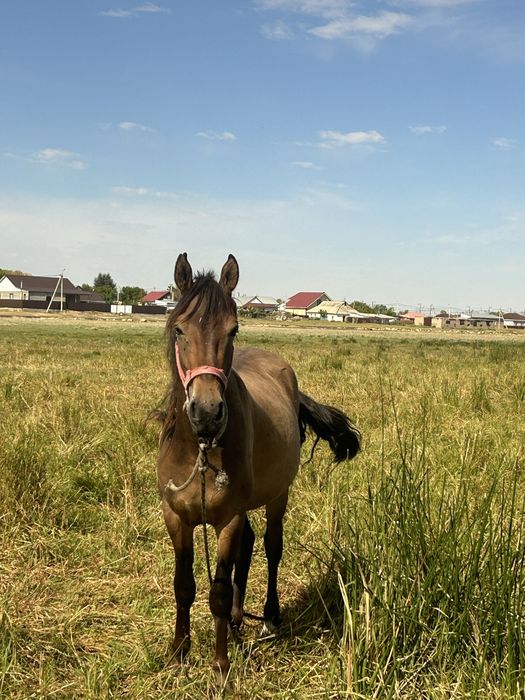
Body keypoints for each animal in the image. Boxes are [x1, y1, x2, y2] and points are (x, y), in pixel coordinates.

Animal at [157, 252, 360, 675]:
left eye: (233, 331)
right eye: (179, 330)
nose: (207, 412)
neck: (198, 448)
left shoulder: (227, 518)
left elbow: (218, 590)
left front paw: (220, 667)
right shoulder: (176, 517)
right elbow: (183, 585)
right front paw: (179, 651)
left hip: (277, 494)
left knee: (270, 546)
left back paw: (268, 617)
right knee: (248, 547)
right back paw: (237, 620)